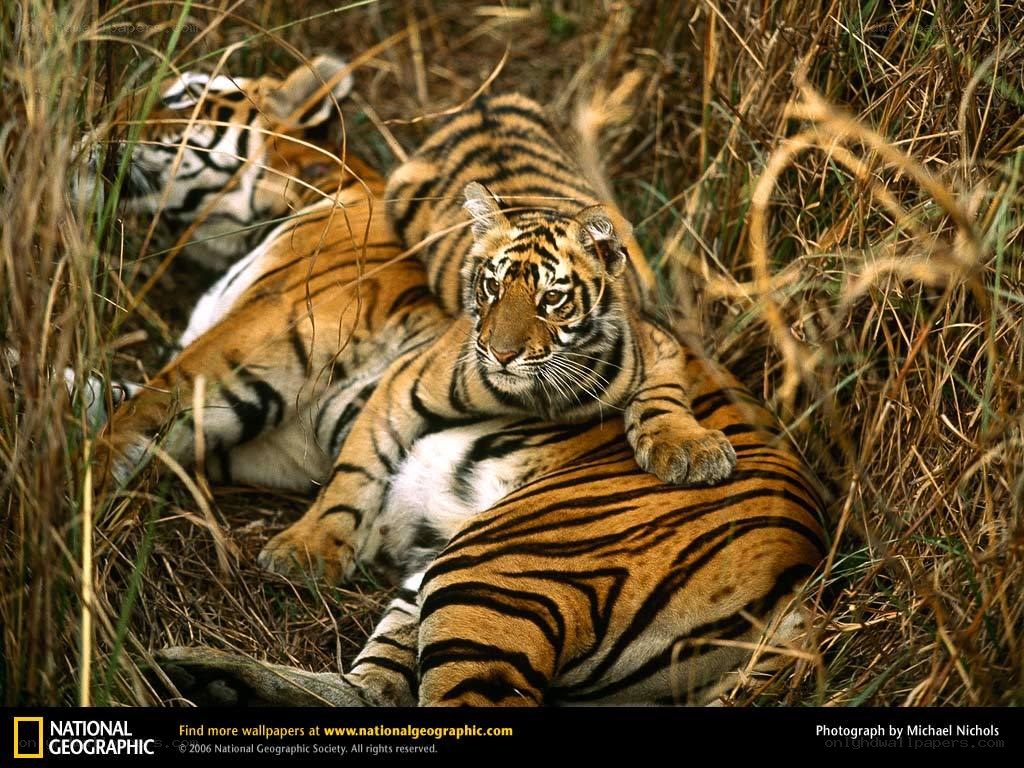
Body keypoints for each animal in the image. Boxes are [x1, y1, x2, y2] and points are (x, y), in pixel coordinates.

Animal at [257, 91, 738, 581]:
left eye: (551, 298)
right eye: (491, 287)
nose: (501, 353)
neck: (541, 396)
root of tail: (487, 101)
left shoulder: (659, 344)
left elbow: (664, 398)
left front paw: (692, 450)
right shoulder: (402, 383)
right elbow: (355, 472)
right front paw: (306, 546)